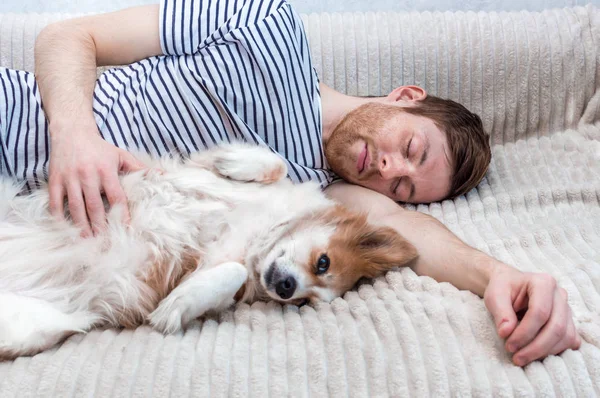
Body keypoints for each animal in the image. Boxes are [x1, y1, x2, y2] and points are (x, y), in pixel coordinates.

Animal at [0, 144, 418, 360]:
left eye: (303, 303)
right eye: (323, 262)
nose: (286, 288)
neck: (259, 230)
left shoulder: (198, 271)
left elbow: (229, 272)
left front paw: (176, 306)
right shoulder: (193, 168)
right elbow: (275, 163)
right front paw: (234, 162)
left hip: (38, 323)